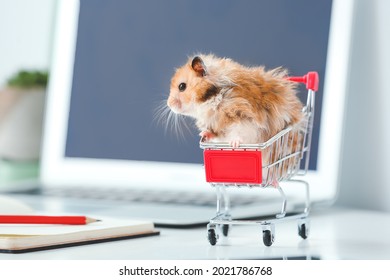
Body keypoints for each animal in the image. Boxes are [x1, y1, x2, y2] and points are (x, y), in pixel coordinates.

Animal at [166, 53, 304, 149]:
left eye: (182, 86)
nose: (169, 105)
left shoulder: (243, 115)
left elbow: (240, 131)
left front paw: (234, 144)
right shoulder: (216, 125)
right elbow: (217, 134)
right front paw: (203, 134)